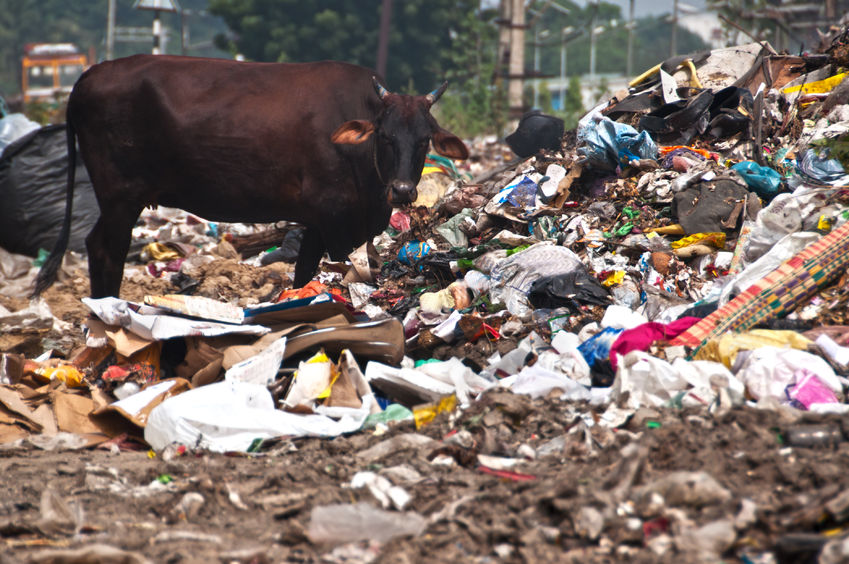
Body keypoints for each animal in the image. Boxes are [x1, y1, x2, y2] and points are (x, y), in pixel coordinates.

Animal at [33, 54, 468, 298]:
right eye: (386, 136)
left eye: (425, 139)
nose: (403, 190)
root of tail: (87, 77)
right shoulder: (335, 219)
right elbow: (343, 271)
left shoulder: (317, 222)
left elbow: (304, 273)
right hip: (120, 197)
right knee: (106, 250)